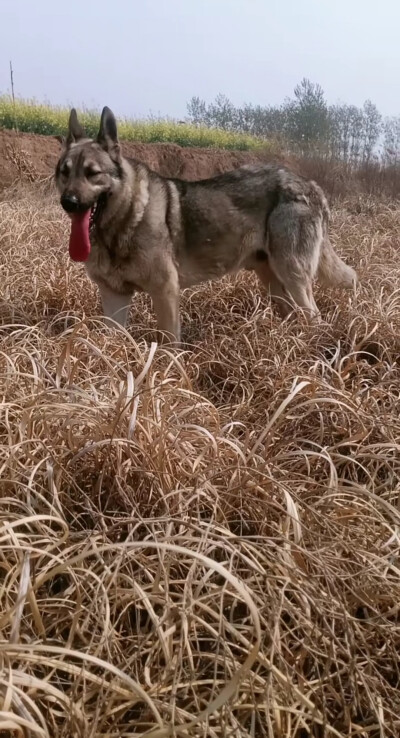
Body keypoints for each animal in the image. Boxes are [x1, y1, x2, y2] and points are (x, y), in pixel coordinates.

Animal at [54, 106, 358, 342]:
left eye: (93, 173)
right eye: (64, 172)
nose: (68, 202)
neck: (124, 221)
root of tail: (311, 184)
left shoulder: (165, 291)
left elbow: (169, 344)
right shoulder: (114, 296)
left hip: (293, 276)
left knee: (315, 317)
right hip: (274, 283)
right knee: (295, 315)